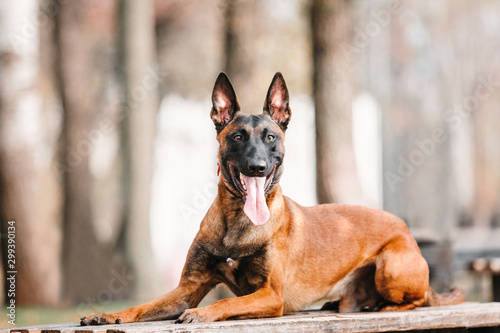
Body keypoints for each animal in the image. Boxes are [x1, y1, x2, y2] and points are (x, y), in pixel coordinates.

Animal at [80, 72, 466, 324]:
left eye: (270, 137)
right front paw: (108, 315)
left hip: (390, 268)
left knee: (418, 300)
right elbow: (144, 306)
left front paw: (201, 313)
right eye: (237, 136)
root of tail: (406, 230)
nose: (257, 166)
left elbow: (224, 306)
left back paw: (387, 308)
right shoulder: (188, 287)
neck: (237, 221)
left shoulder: (270, 295)